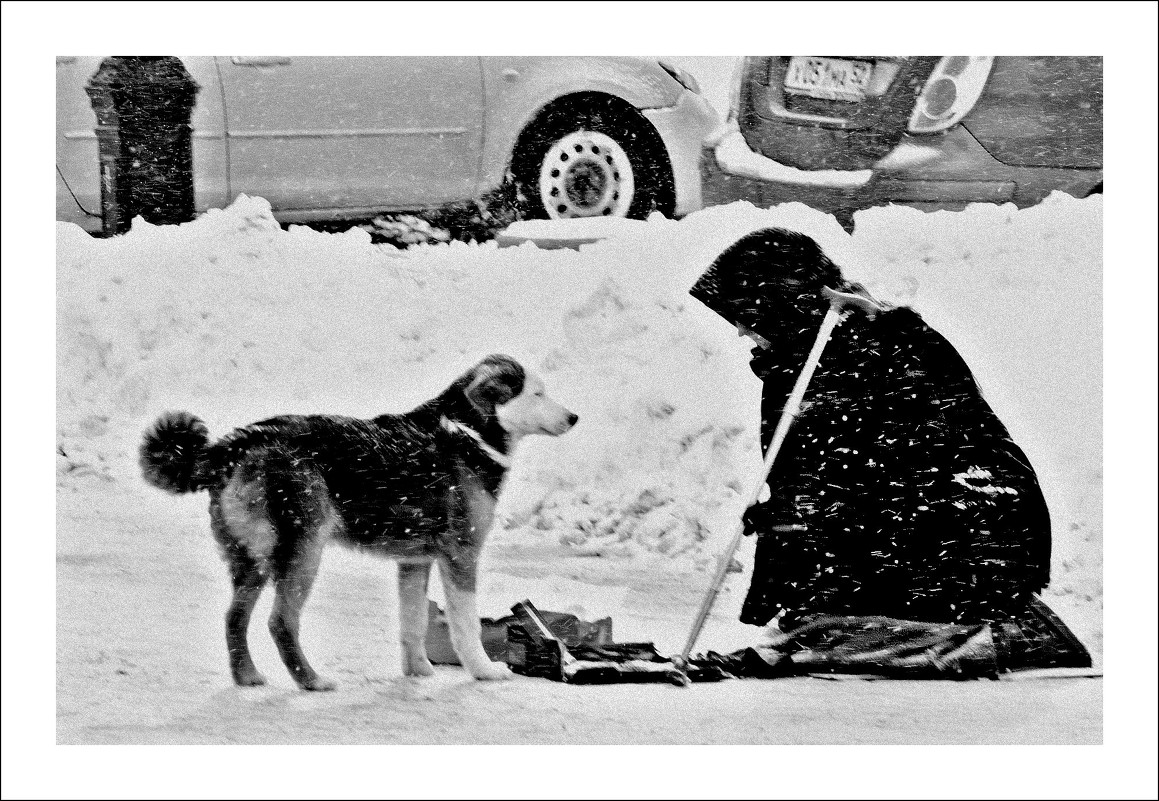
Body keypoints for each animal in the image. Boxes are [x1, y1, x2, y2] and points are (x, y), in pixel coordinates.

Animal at [142, 354, 577, 690]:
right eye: (537, 393)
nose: (574, 417)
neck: (467, 432)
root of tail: (235, 444)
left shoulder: (414, 561)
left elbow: (413, 624)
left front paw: (418, 672)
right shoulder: (460, 555)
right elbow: (466, 626)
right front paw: (483, 671)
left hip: (252, 558)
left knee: (235, 618)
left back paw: (247, 676)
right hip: (302, 552)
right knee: (280, 622)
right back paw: (311, 681)